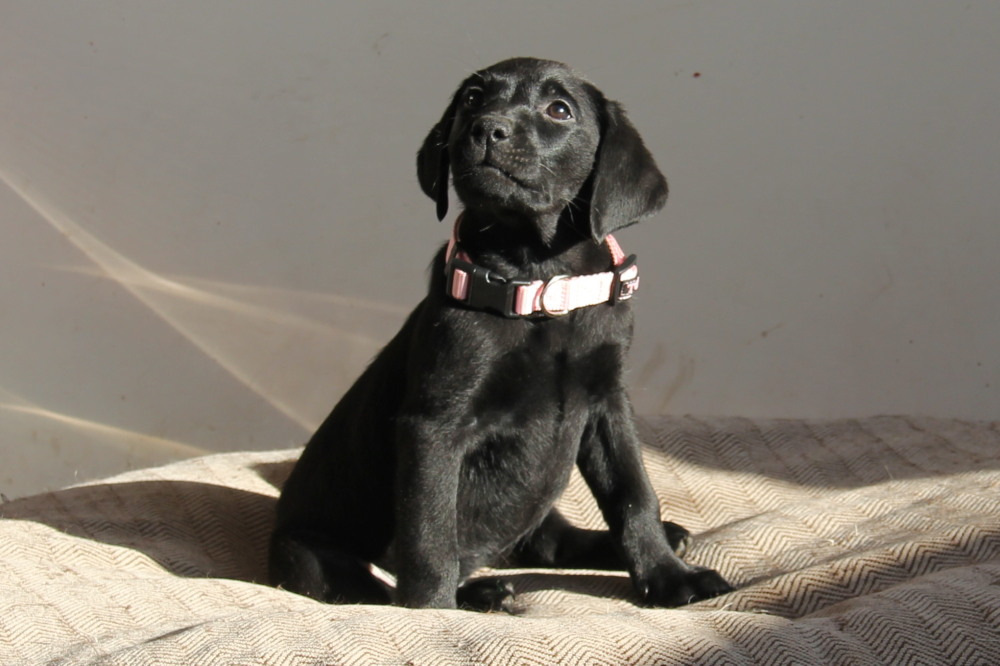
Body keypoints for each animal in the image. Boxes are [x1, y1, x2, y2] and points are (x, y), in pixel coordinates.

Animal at [270, 59, 732, 608]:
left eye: (560, 110)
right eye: (471, 98)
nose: (486, 128)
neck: (540, 282)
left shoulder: (608, 403)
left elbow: (634, 494)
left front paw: (667, 575)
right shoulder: (434, 424)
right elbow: (429, 534)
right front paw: (433, 612)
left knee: (549, 540)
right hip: (308, 558)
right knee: (381, 581)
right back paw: (478, 592)